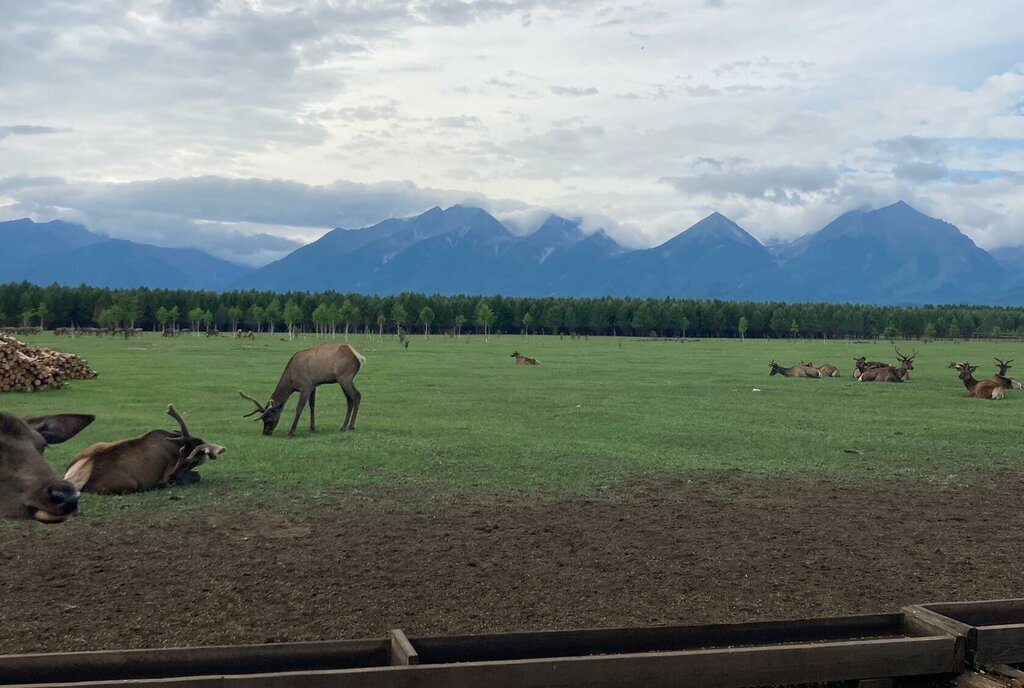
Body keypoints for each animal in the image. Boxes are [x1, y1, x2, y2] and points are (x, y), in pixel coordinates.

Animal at [64, 403, 226, 495]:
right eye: (181, 454)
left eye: (193, 461)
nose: (172, 477)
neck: (173, 445)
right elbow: (198, 475)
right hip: (129, 484)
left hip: (96, 445)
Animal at [237, 341, 366, 436]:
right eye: (263, 419)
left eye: (268, 418)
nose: (266, 432)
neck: (291, 381)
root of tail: (359, 357)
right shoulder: (313, 385)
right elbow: (312, 406)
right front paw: (312, 427)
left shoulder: (305, 386)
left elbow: (300, 408)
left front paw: (291, 431)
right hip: (341, 380)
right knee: (349, 400)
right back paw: (344, 426)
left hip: (345, 377)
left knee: (357, 396)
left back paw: (352, 426)